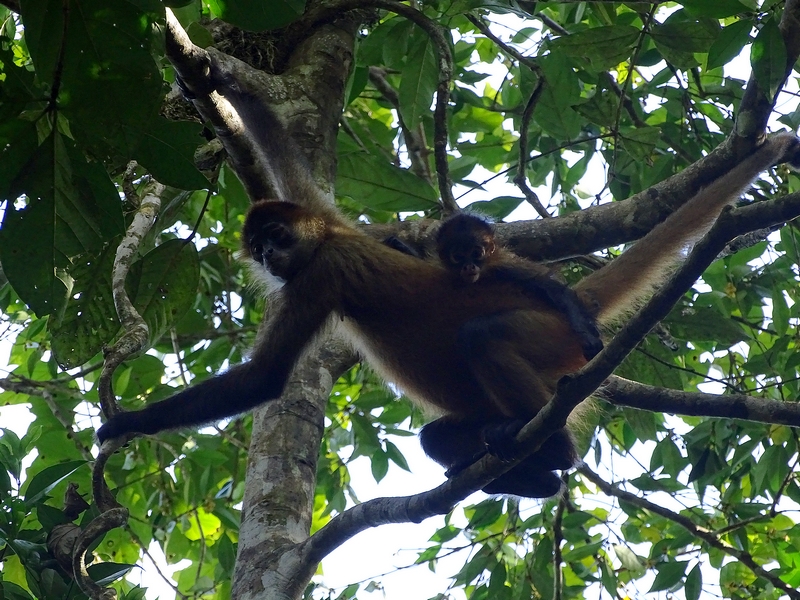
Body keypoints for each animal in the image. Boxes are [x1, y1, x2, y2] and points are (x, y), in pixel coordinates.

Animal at [97, 61, 800, 498]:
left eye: (276, 241)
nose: (269, 257)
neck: (329, 241)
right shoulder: (326, 219)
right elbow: (285, 156)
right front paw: (215, 82)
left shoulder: (320, 269)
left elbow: (266, 378)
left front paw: (121, 427)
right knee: (439, 434)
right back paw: (530, 472)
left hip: (550, 336)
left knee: (485, 337)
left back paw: (553, 450)